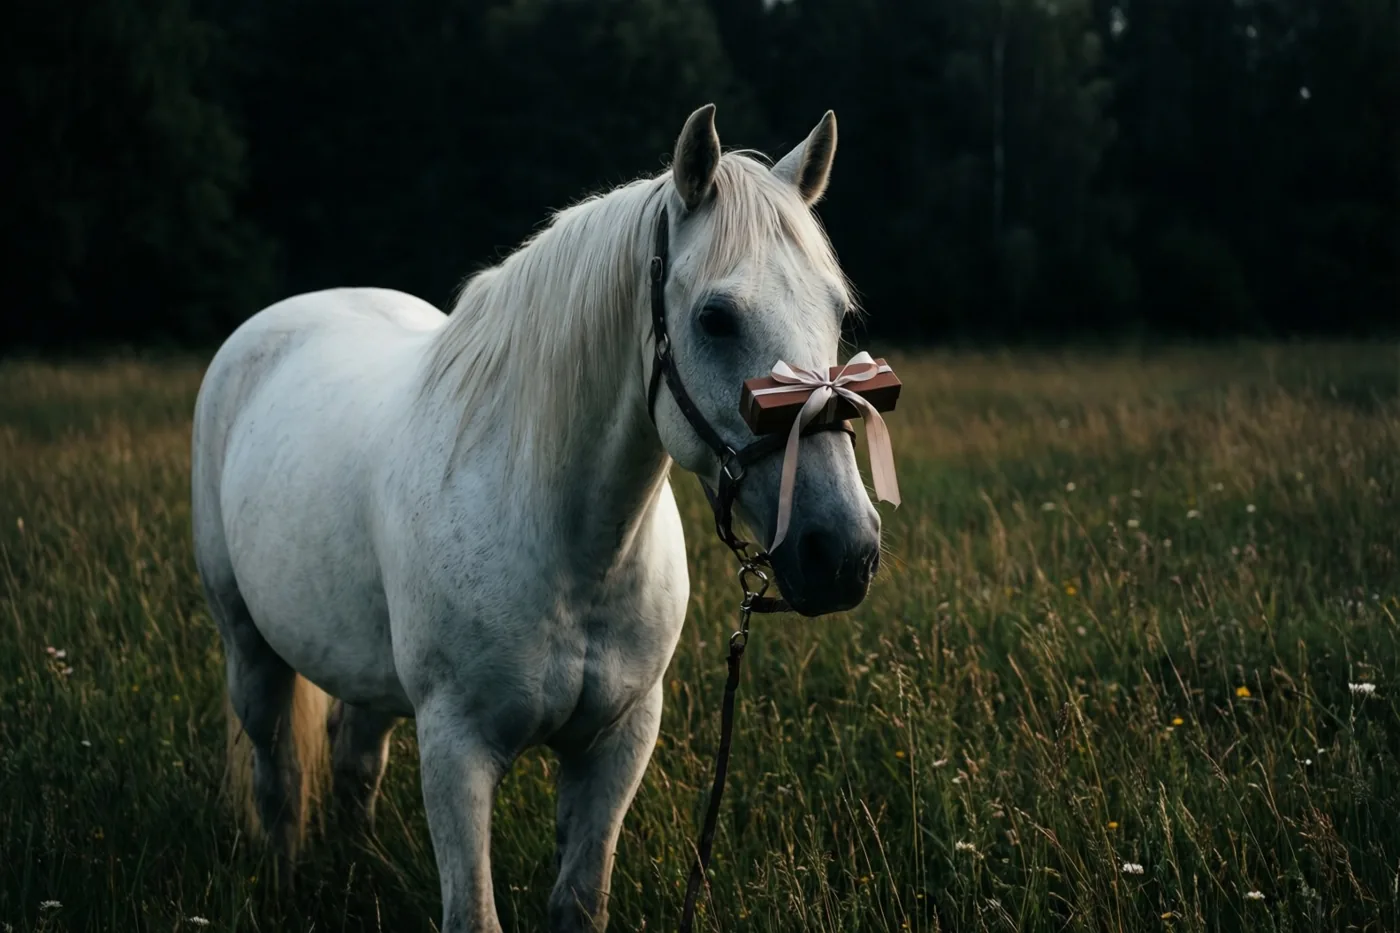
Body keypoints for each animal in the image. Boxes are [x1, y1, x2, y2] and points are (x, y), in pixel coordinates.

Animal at [191, 103, 883, 933]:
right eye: (717, 318)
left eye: (840, 314)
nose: (842, 550)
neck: (572, 550)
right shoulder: (456, 750)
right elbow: (473, 913)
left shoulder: (616, 743)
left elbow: (580, 901)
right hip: (249, 645)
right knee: (279, 779)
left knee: (354, 761)